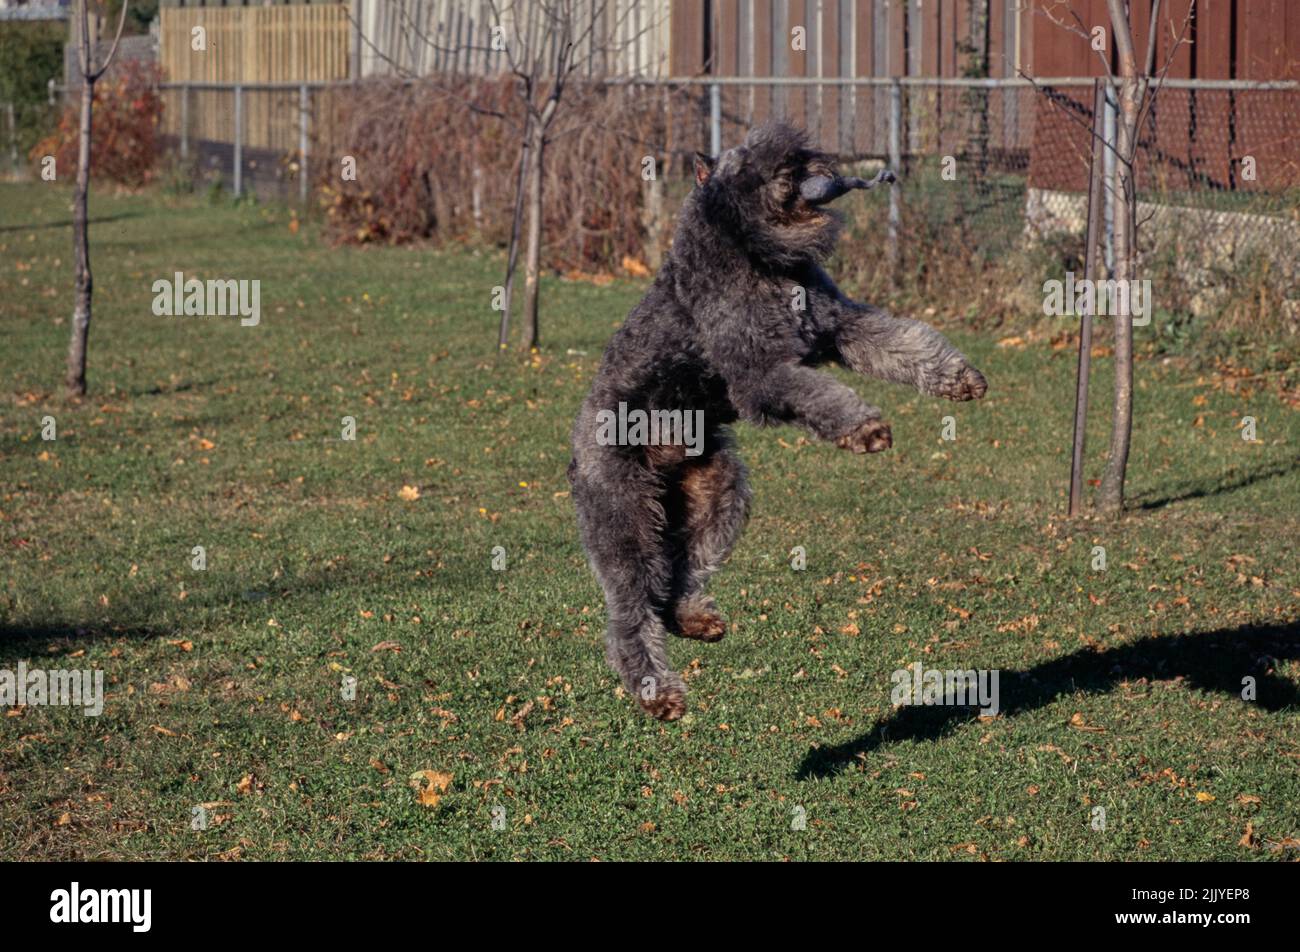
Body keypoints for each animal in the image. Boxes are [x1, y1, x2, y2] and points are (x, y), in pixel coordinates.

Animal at [569, 124, 982, 723]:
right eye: (744, 160)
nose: (796, 164)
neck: (755, 258)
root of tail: (576, 451)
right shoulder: (760, 373)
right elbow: (815, 393)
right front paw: (862, 428)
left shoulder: (844, 326)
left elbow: (905, 344)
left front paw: (958, 377)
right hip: (625, 525)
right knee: (631, 612)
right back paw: (657, 690)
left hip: (718, 500)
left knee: (678, 578)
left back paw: (694, 619)